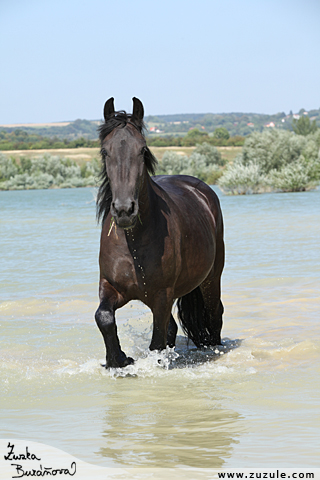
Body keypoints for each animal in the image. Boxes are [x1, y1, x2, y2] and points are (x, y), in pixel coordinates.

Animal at [95, 96, 225, 368]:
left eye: (142, 150)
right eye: (105, 151)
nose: (124, 210)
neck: (134, 243)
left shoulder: (162, 295)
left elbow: (157, 342)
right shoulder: (111, 286)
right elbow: (103, 317)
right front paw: (118, 360)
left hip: (211, 278)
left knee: (214, 314)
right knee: (174, 327)